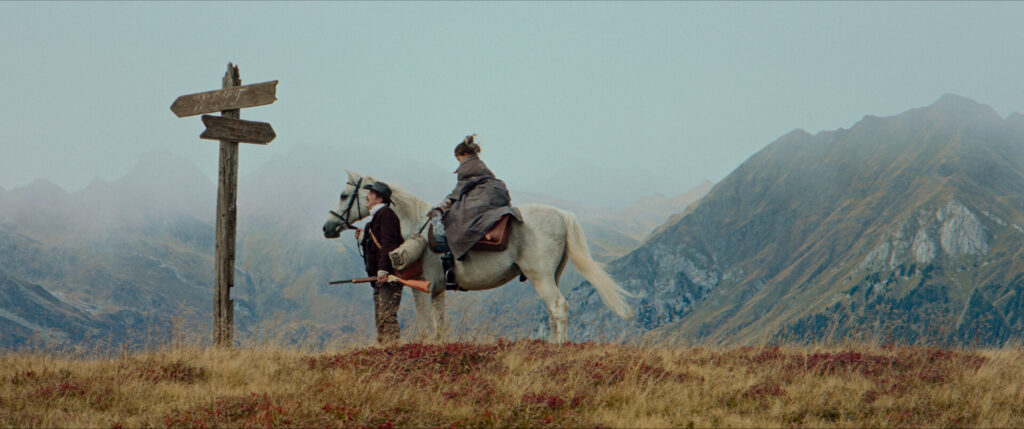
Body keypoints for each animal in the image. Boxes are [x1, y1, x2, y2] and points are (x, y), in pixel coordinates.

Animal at [321, 170, 630, 341]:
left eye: (343, 194)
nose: (327, 227)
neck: (412, 227)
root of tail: (562, 216)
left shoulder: (421, 288)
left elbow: (425, 328)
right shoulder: (438, 291)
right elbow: (439, 328)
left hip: (540, 276)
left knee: (558, 307)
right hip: (551, 276)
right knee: (553, 312)